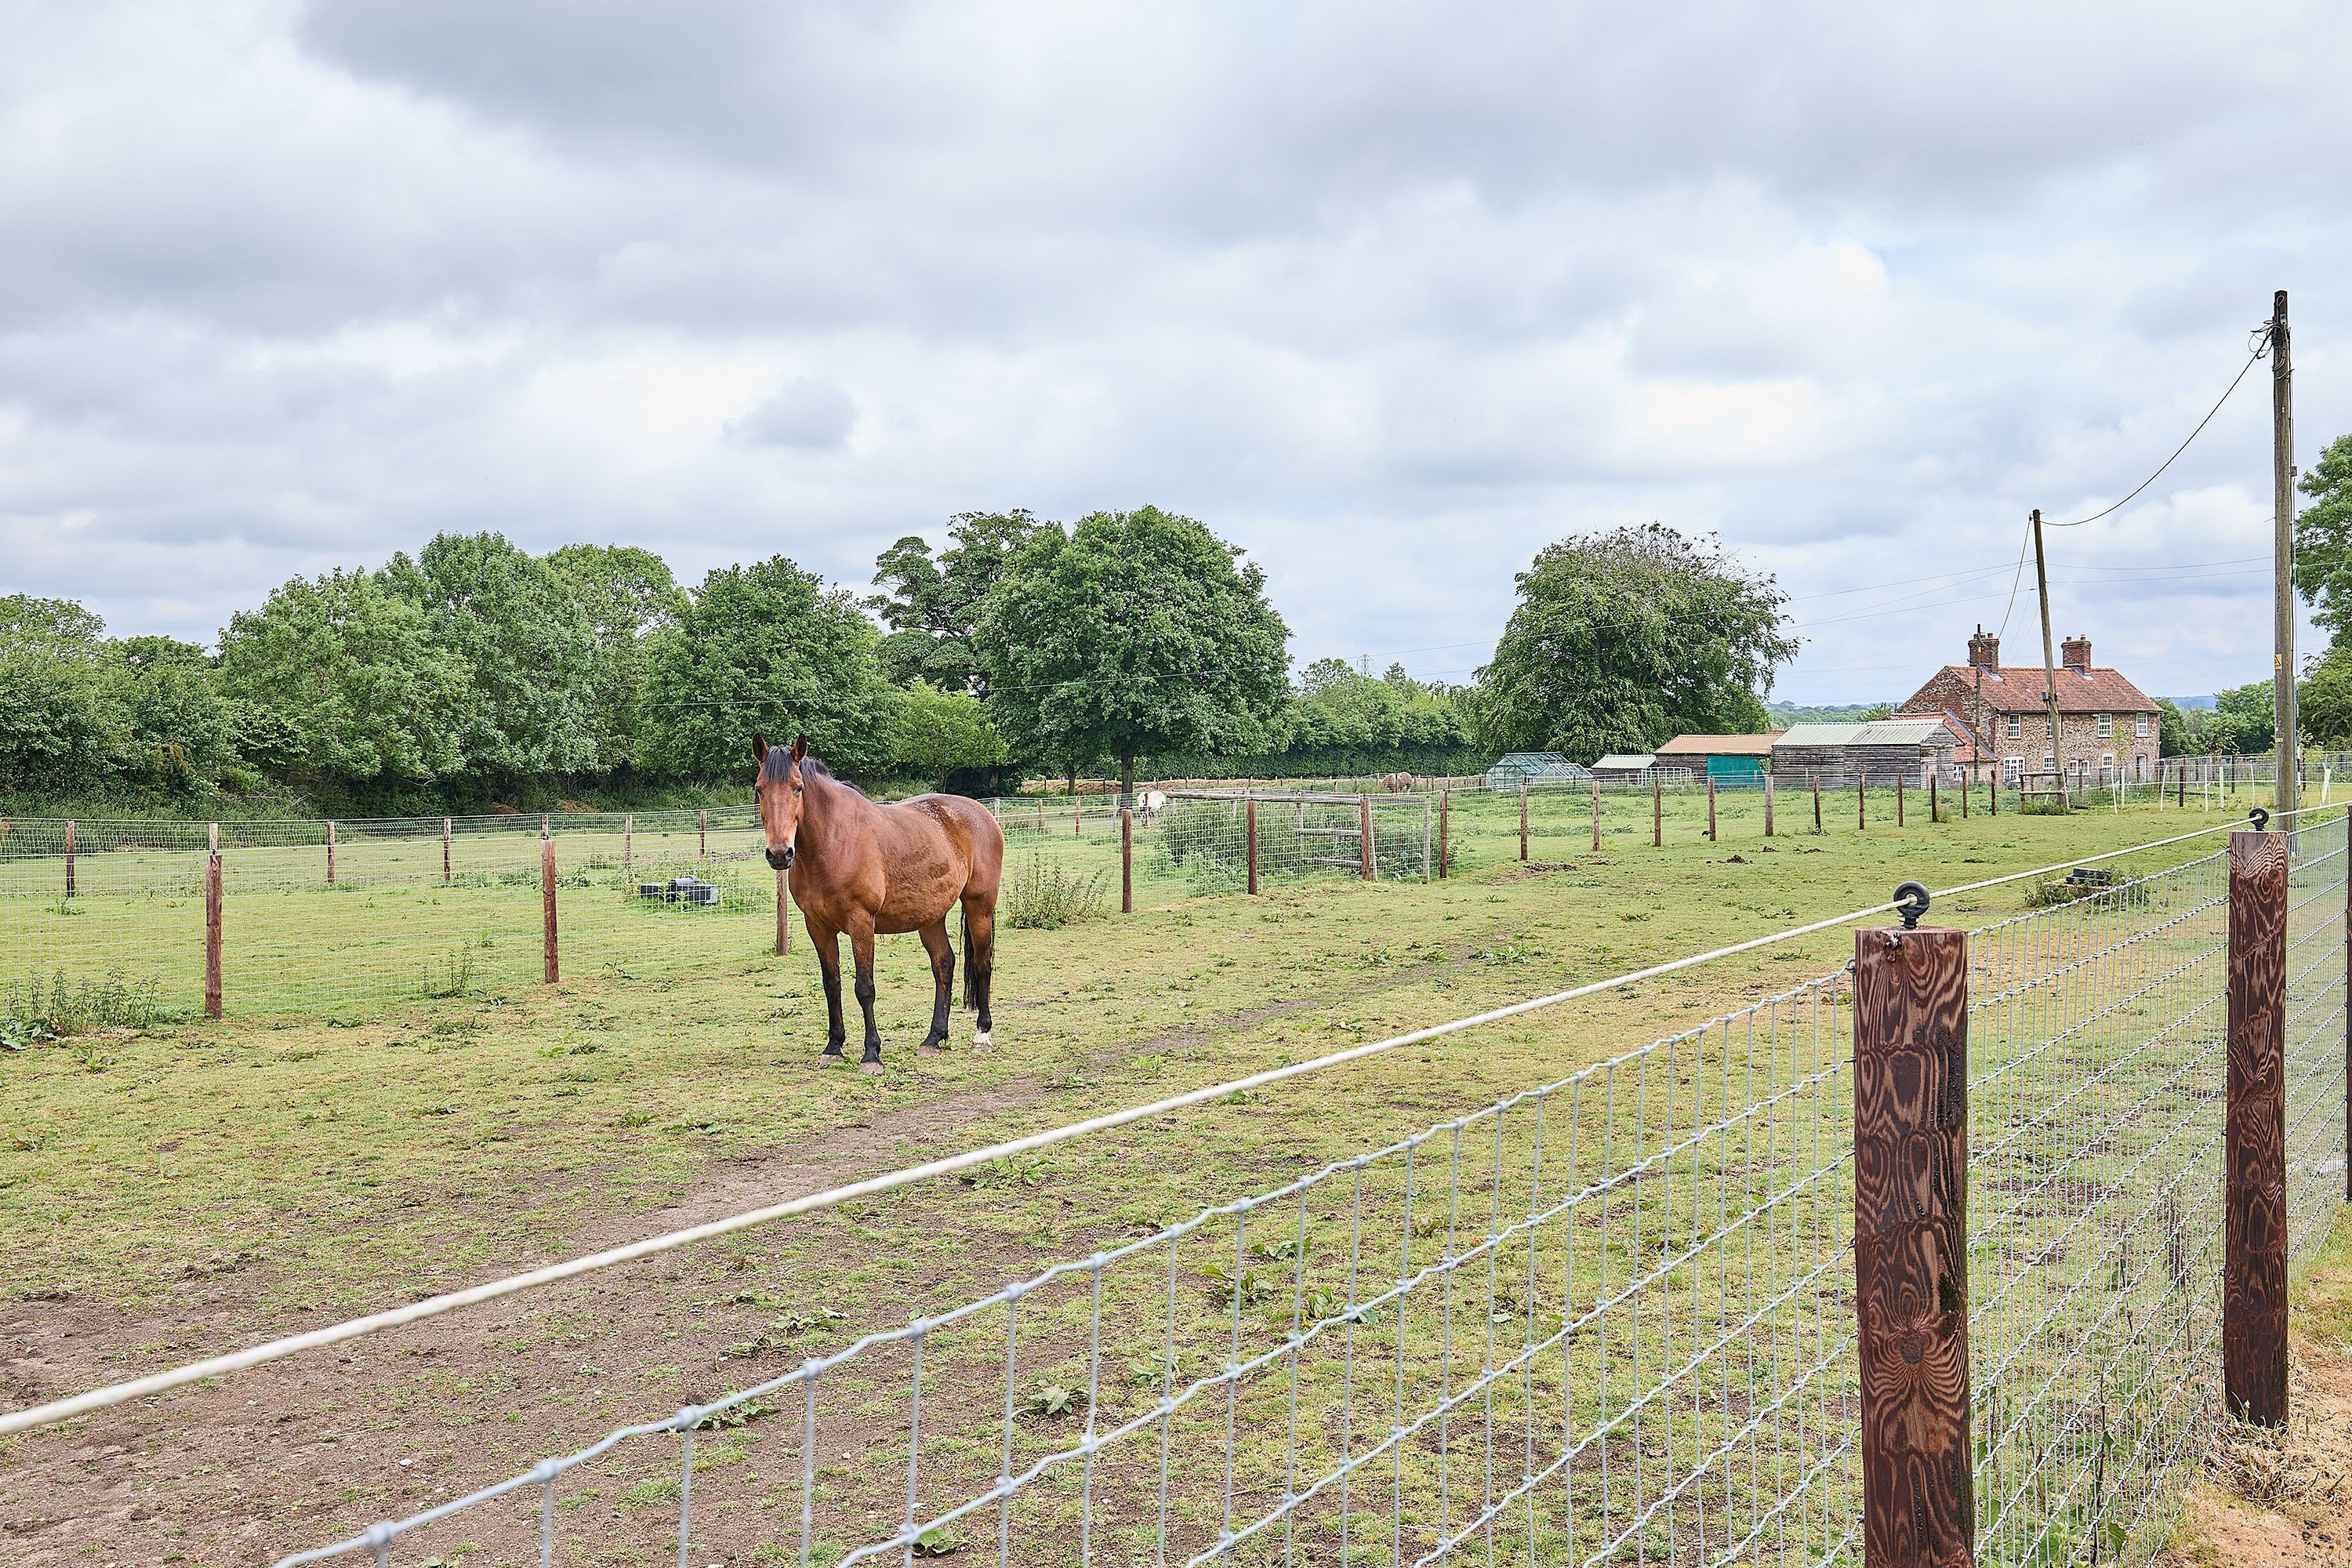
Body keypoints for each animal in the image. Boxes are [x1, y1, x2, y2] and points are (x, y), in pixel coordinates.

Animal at [753, 735, 1004, 1074]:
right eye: (759, 789)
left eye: (798, 788)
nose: (780, 854)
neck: (832, 840)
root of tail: (982, 813)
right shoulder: (817, 926)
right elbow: (831, 984)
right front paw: (833, 1048)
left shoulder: (861, 922)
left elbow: (864, 987)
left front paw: (871, 1055)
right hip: (930, 917)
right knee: (944, 964)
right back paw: (933, 1039)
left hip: (980, 907)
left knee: (981, 963)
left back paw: (982, 1036)